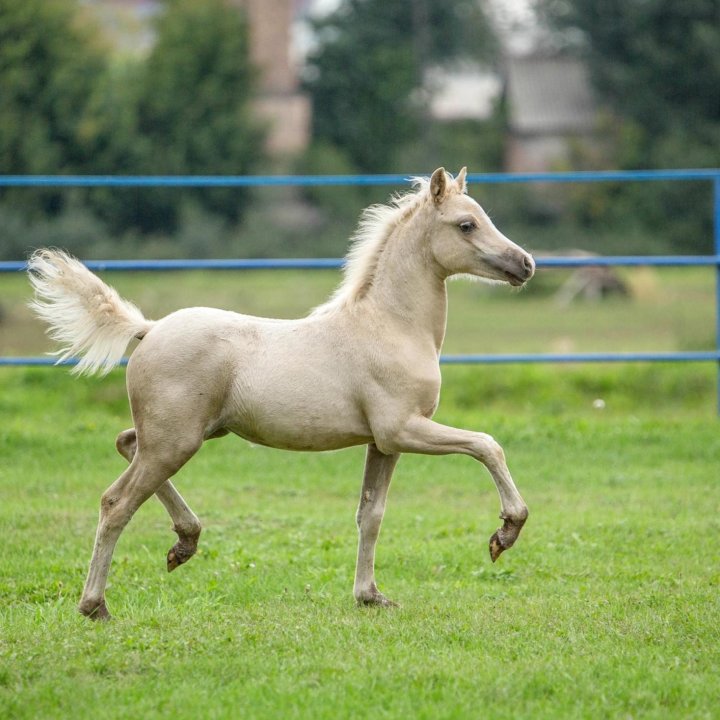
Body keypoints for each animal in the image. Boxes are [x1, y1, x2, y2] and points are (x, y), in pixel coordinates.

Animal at [28, 169, 536, 620]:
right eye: (466, 224)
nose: (526, 264)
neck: (390, 325)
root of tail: (149, 329)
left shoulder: (383, 443)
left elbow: (370, 514)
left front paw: (370, 596)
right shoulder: (404, 429)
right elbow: (486, 445)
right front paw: (505, 532)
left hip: (187, 434)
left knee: (125, 443)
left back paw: (184, 542)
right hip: (175, 441)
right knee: (116, 503)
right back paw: (95, 605)